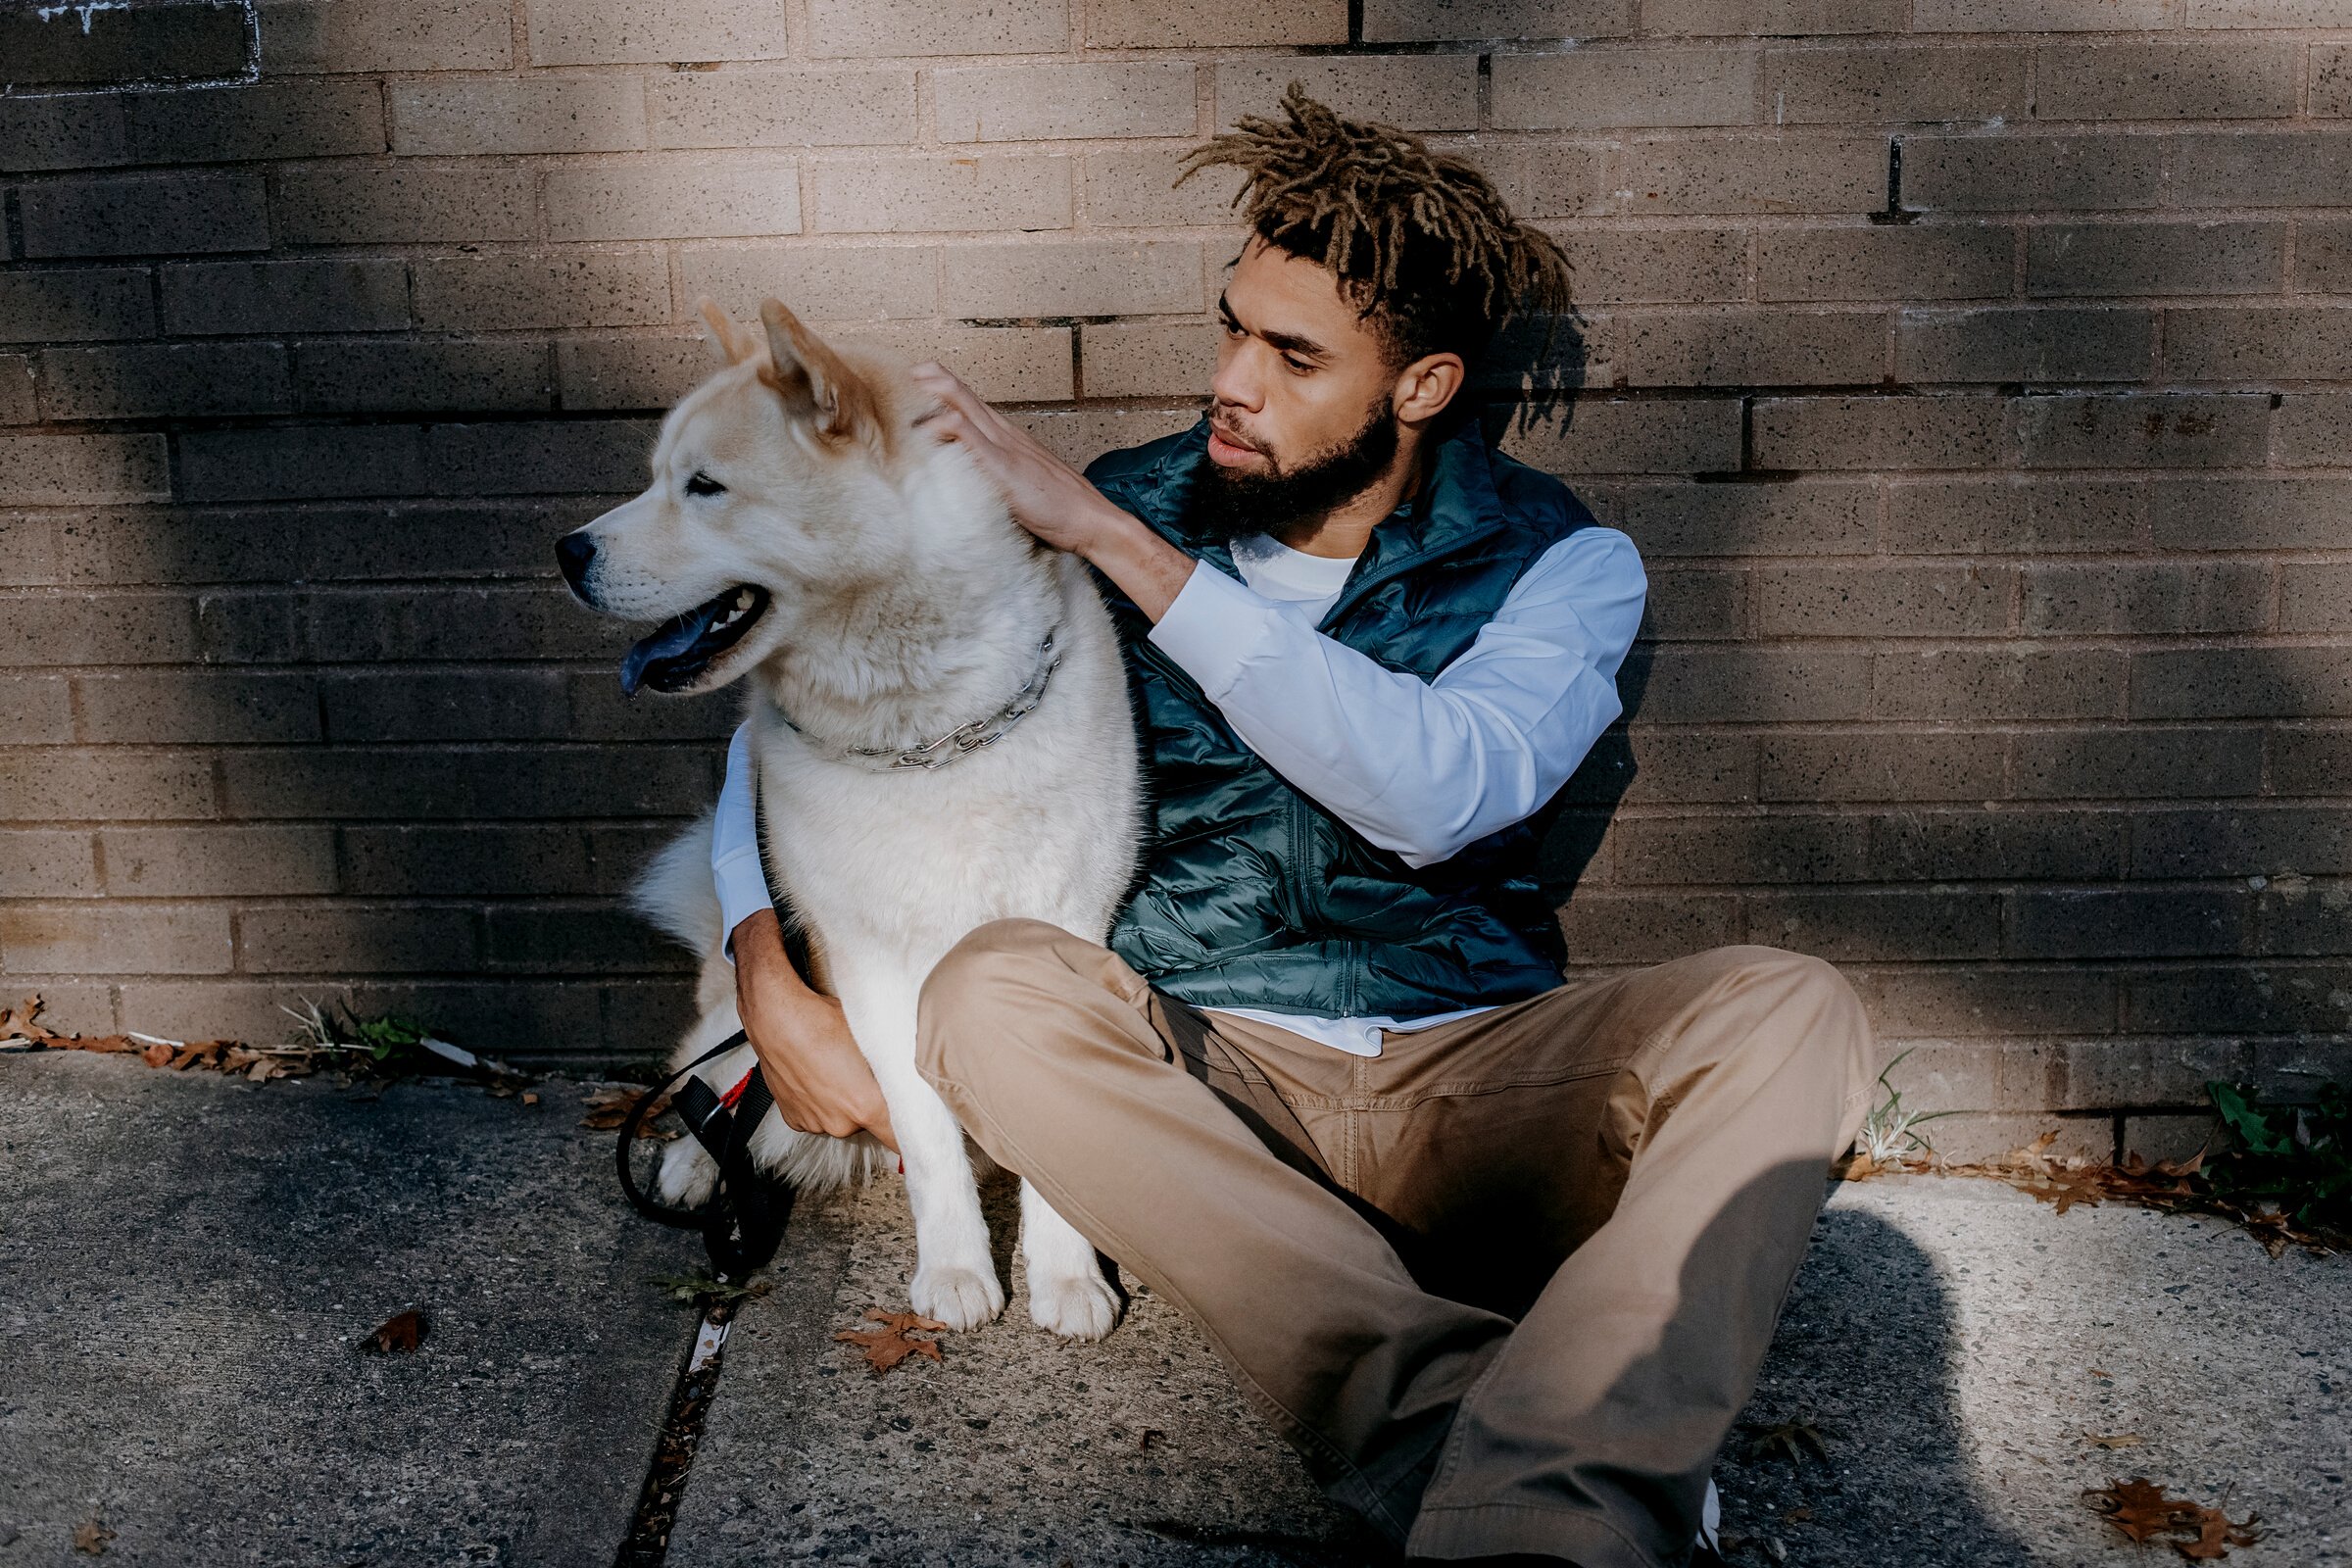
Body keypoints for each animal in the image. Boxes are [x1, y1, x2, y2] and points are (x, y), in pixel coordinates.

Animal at [553, 301, 1138, 1345]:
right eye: (657, 476)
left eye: (704, 486)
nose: (567, 551)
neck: (926, 735)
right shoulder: (873, 967)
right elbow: (930, 1138)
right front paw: (957, 1270)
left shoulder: (1068, 932)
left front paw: (1068, 1273)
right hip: (741, 1016)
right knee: (710, 1088)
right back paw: (696, 1163)